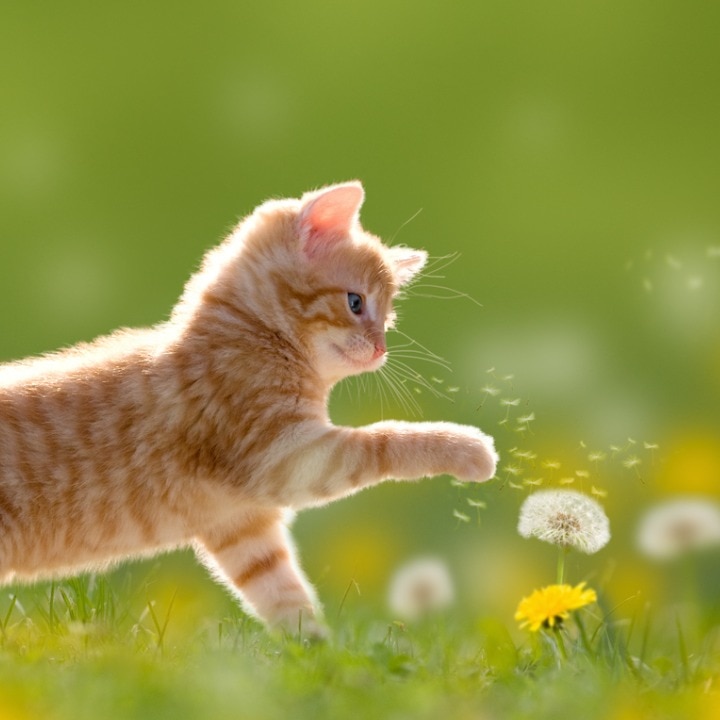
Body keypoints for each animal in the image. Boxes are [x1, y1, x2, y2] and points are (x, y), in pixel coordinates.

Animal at [0, 183, 496, 632]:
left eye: (389, 319)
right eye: (356, 303)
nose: (381, 349)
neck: (255, 337)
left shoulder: (240, 524)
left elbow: (283, 594)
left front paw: (317, 656)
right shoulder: (285, 456)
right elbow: (383, 441)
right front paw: (466, 448)